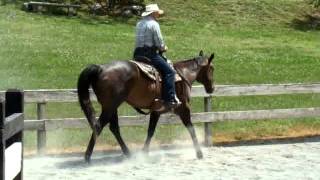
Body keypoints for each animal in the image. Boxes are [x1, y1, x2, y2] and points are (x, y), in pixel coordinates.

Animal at [76, 50, 214, 162]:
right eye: (212, 69)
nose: (211, 88)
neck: (182, 75)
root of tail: (100, 68)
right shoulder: (183, 108)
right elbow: (191, 128)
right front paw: (199, 153)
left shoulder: (156, 111)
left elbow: (150, 131)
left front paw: (144, 152)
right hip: (110, 107)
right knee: (98, 126)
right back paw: (87, 157)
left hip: (111, 107)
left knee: (114, 128)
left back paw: (128, 153)